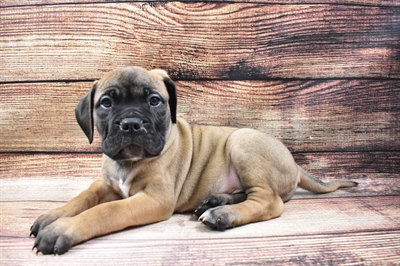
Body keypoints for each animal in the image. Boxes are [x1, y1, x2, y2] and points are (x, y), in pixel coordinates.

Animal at [30, 65, 356, 255]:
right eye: (106, 103)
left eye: (155, 101)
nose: (131, 124)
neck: (129, 163)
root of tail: (295, 164)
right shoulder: (106, 184)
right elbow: (84, 197)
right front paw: (54, 215)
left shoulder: (154, 199)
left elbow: (106, 211)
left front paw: (63, 229)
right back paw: (216, 201)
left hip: (242, 142)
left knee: (269, 200)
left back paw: (223, 214)